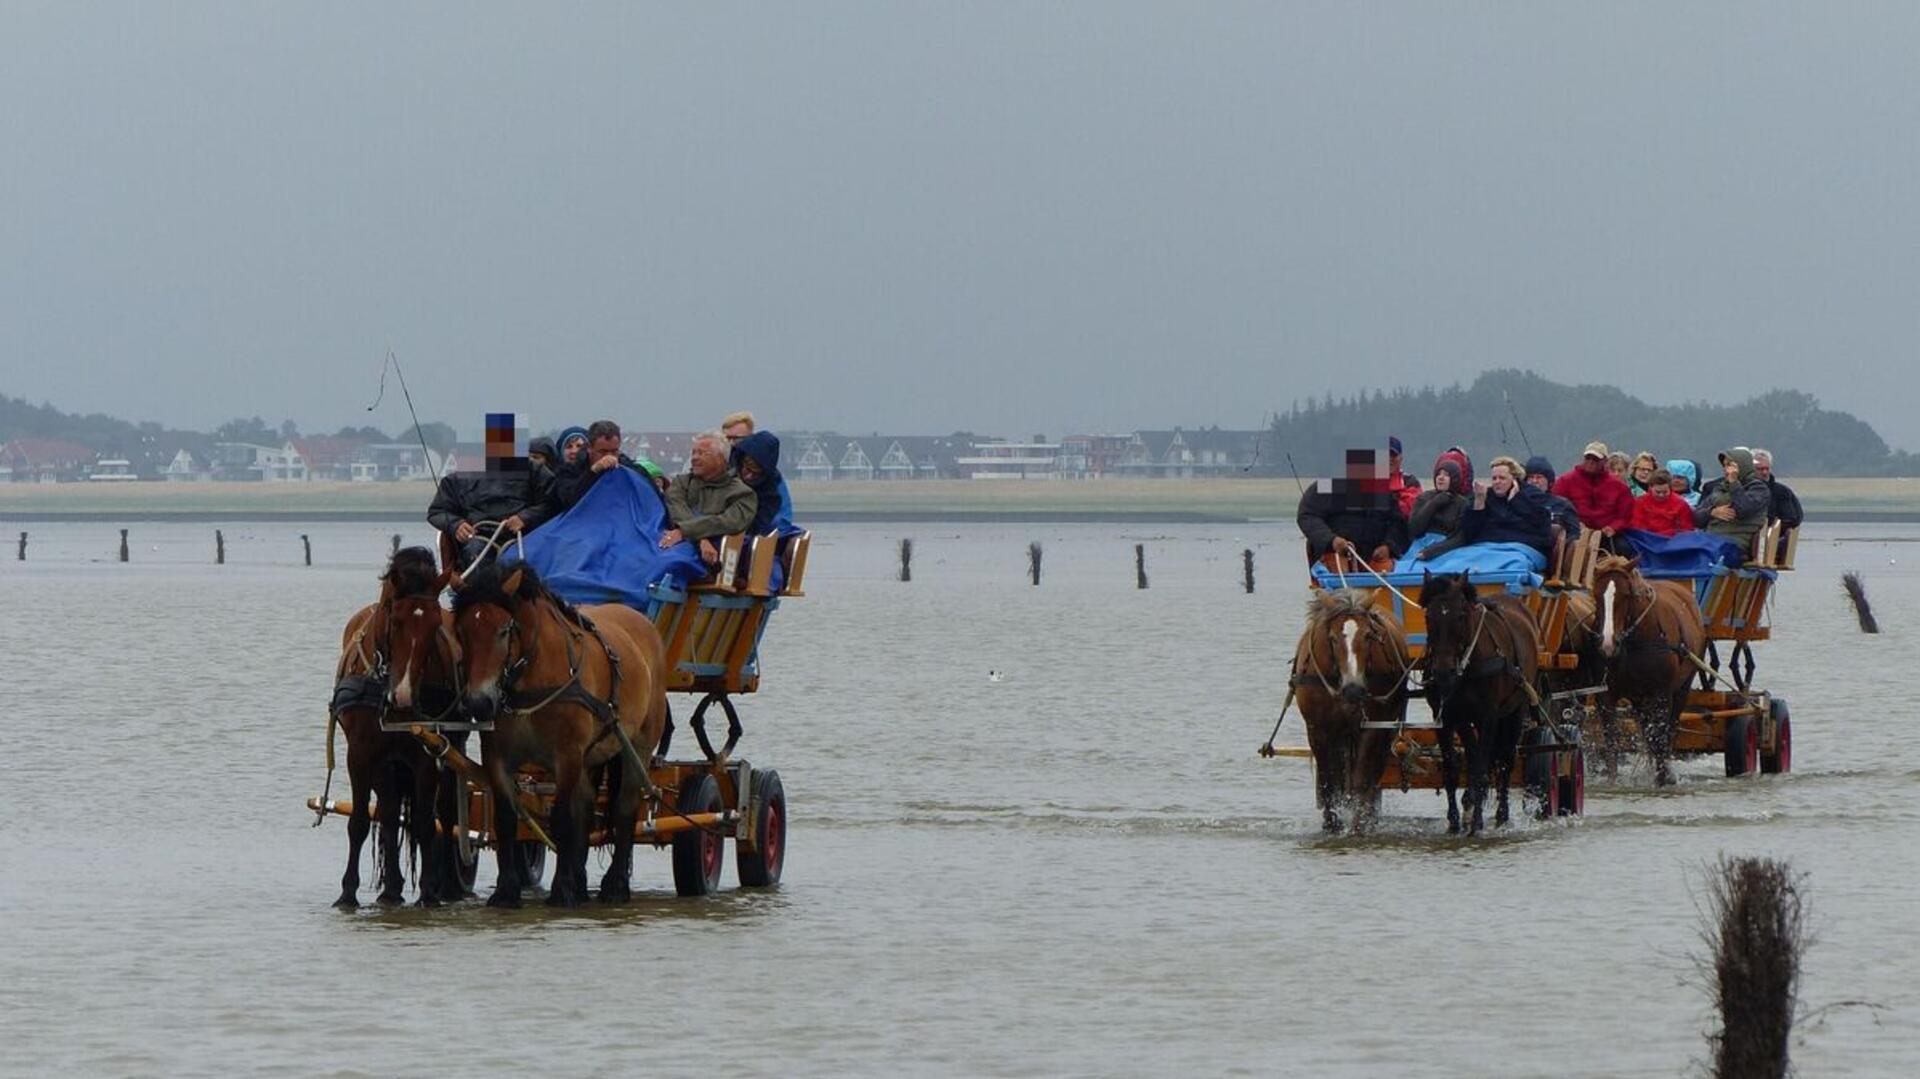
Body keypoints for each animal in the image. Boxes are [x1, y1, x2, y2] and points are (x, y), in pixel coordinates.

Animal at [330, 541, 464, 902]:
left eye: (434, 624)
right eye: (396, 618)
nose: (403, 695)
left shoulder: (427, 754)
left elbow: (424, 823)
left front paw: (429, 892)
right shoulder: (360, 754)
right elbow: (360, 821)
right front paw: (347, 892)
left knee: (447, 813)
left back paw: (451, 885)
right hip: (385, 763)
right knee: (390, 813)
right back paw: (391, 887)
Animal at [449, 556, 668, 902]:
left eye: (503, 631)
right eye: (461, 631)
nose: (479, 701)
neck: (532, 675)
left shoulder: (566, 755)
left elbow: (563, 818)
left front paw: (562, 889)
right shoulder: (497, 756)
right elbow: (506, 817)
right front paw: (507, 890)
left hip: (638, 746)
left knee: (625, 808)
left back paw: (615, 885)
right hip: (592, 756)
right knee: (587, 809)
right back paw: (580, 880)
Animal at [1290, 587, 1413, 833]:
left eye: (1368, 636)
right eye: (1333, 638)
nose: (1354, 689)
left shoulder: (1371, 727)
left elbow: (1360, 779)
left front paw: (1358, 825)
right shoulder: (1317, 729)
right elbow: (1328, 782)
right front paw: (1331, 824)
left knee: (1372, 774)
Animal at [1428, 572, 1543, 833]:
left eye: (1461, 616)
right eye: (1428, 615)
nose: (1443, 673)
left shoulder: (1489, 715)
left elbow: (1483, 768)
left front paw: (1477, 823)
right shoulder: (1446, 717)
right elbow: (1452, 769)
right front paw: (1454, 822)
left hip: (1515, 710)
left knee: (1505, 760)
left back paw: (1501, 815)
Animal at [1589, 552, 1712, 779]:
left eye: (1626, 595)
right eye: (1596, 594)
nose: (1608, 643)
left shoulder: (1661, 694)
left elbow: (1660, 738)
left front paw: (1664, 777)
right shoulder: (1605, 696)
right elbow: (1611, 742)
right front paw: (1612, 779)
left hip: (1681, 688)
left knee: (1670, 729)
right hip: (1639, 698)